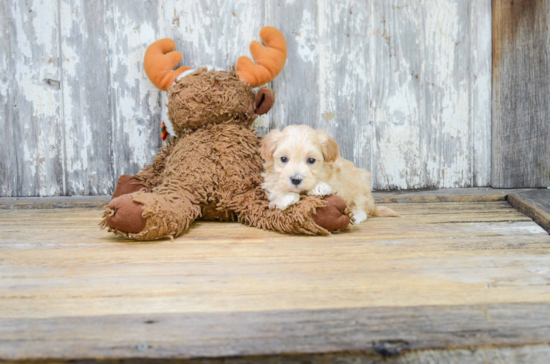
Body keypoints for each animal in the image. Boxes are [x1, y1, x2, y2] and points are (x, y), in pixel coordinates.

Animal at [264, 123, 402, 223]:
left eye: (311, 160)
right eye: (283, 159)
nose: (296, 179)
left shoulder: (338, 182)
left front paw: (319, 186)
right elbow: (275, 187)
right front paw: (286, 196)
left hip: (361, 184)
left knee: (362, 207)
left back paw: (356, 215)